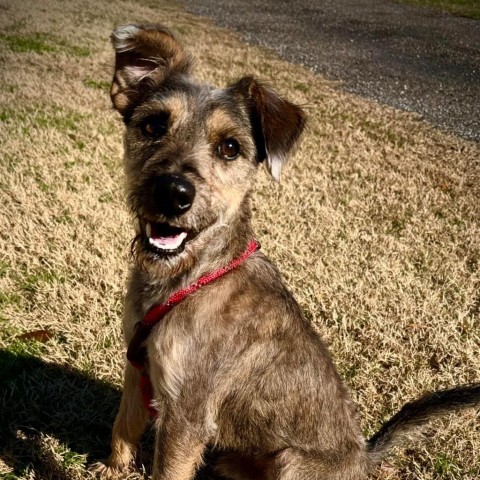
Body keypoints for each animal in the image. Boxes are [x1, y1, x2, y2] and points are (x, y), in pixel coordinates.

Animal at [91, 23, 480, 480]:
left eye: (229, 147)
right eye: (153, 125)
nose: (173, 192)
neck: (191, 277)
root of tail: (363, 455)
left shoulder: (187, 411)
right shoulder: (138, 370)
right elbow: (123, 428)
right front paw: (110, 470)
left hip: (290, 460)